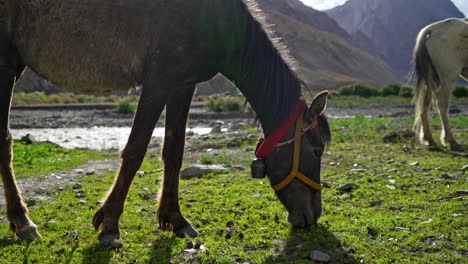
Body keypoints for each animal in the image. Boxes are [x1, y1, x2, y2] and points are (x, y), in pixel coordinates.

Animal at [0, 0, 330, 248]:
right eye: (316, 150)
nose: (312, 216)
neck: (215, 20)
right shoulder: (158, 81)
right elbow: (135, 150)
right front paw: (110, 225)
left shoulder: (183, 85)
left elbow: (174, 151)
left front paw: (176, 219)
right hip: (5, 64)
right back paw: (23, 222)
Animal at [414, 17, 468, 152]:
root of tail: (433, 29)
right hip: (449, 76)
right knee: (442, 103)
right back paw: (451, 140)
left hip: (431, 77)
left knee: (426, 102)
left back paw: (430, 140)